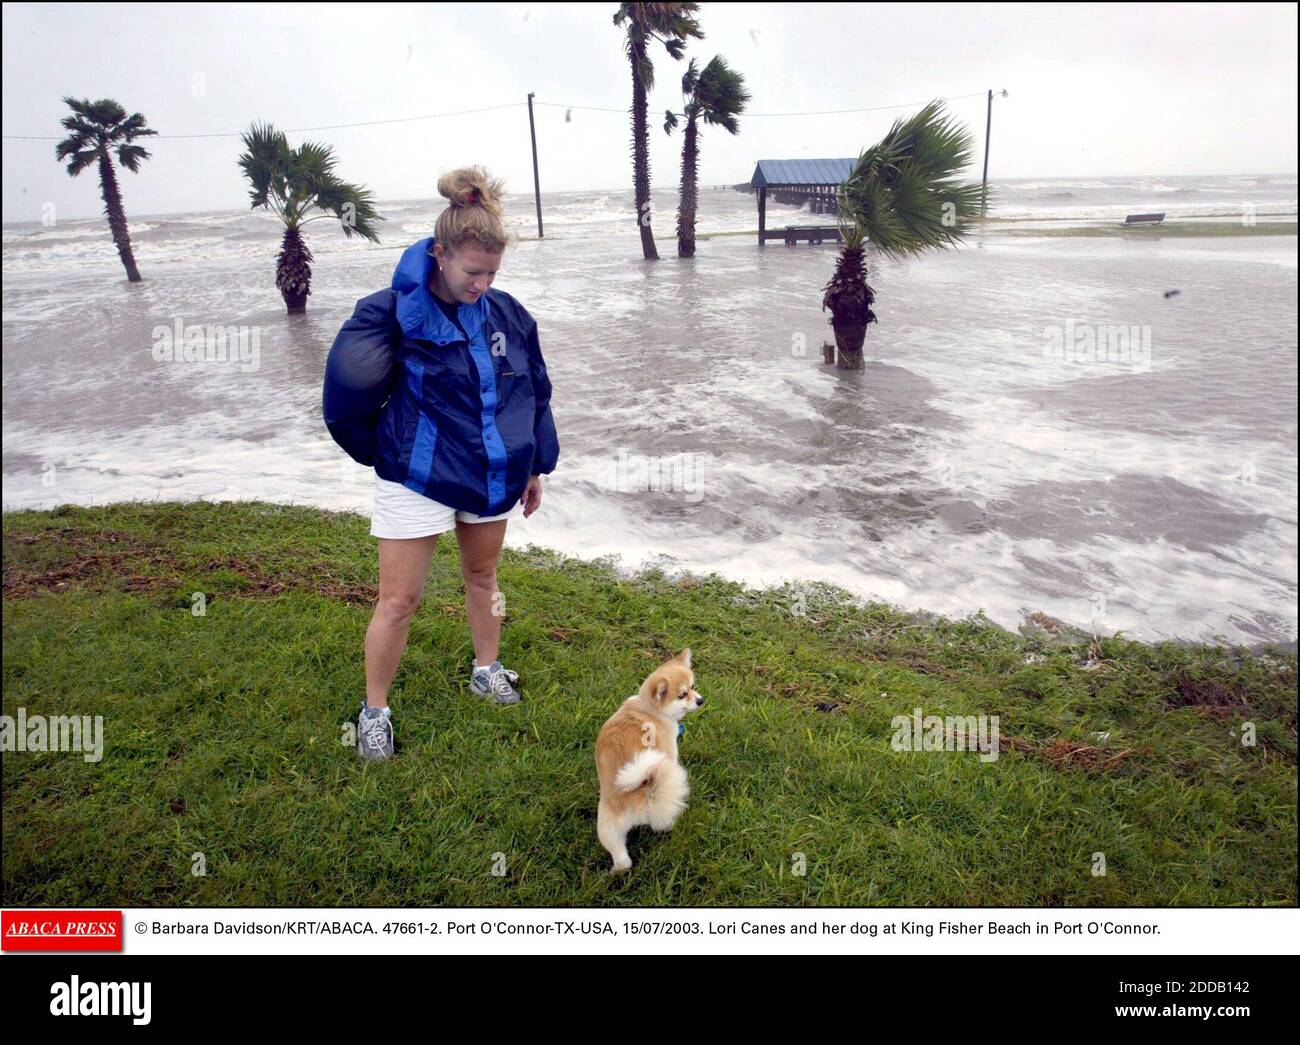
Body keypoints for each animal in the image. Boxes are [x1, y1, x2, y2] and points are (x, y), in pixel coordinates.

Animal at [595, 649, 707, 868]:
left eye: (693, 687)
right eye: (682, 695)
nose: (700, 700)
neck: (649, 707)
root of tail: (641, 796)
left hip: (607, 827)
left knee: (622, 860)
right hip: (664, 799)